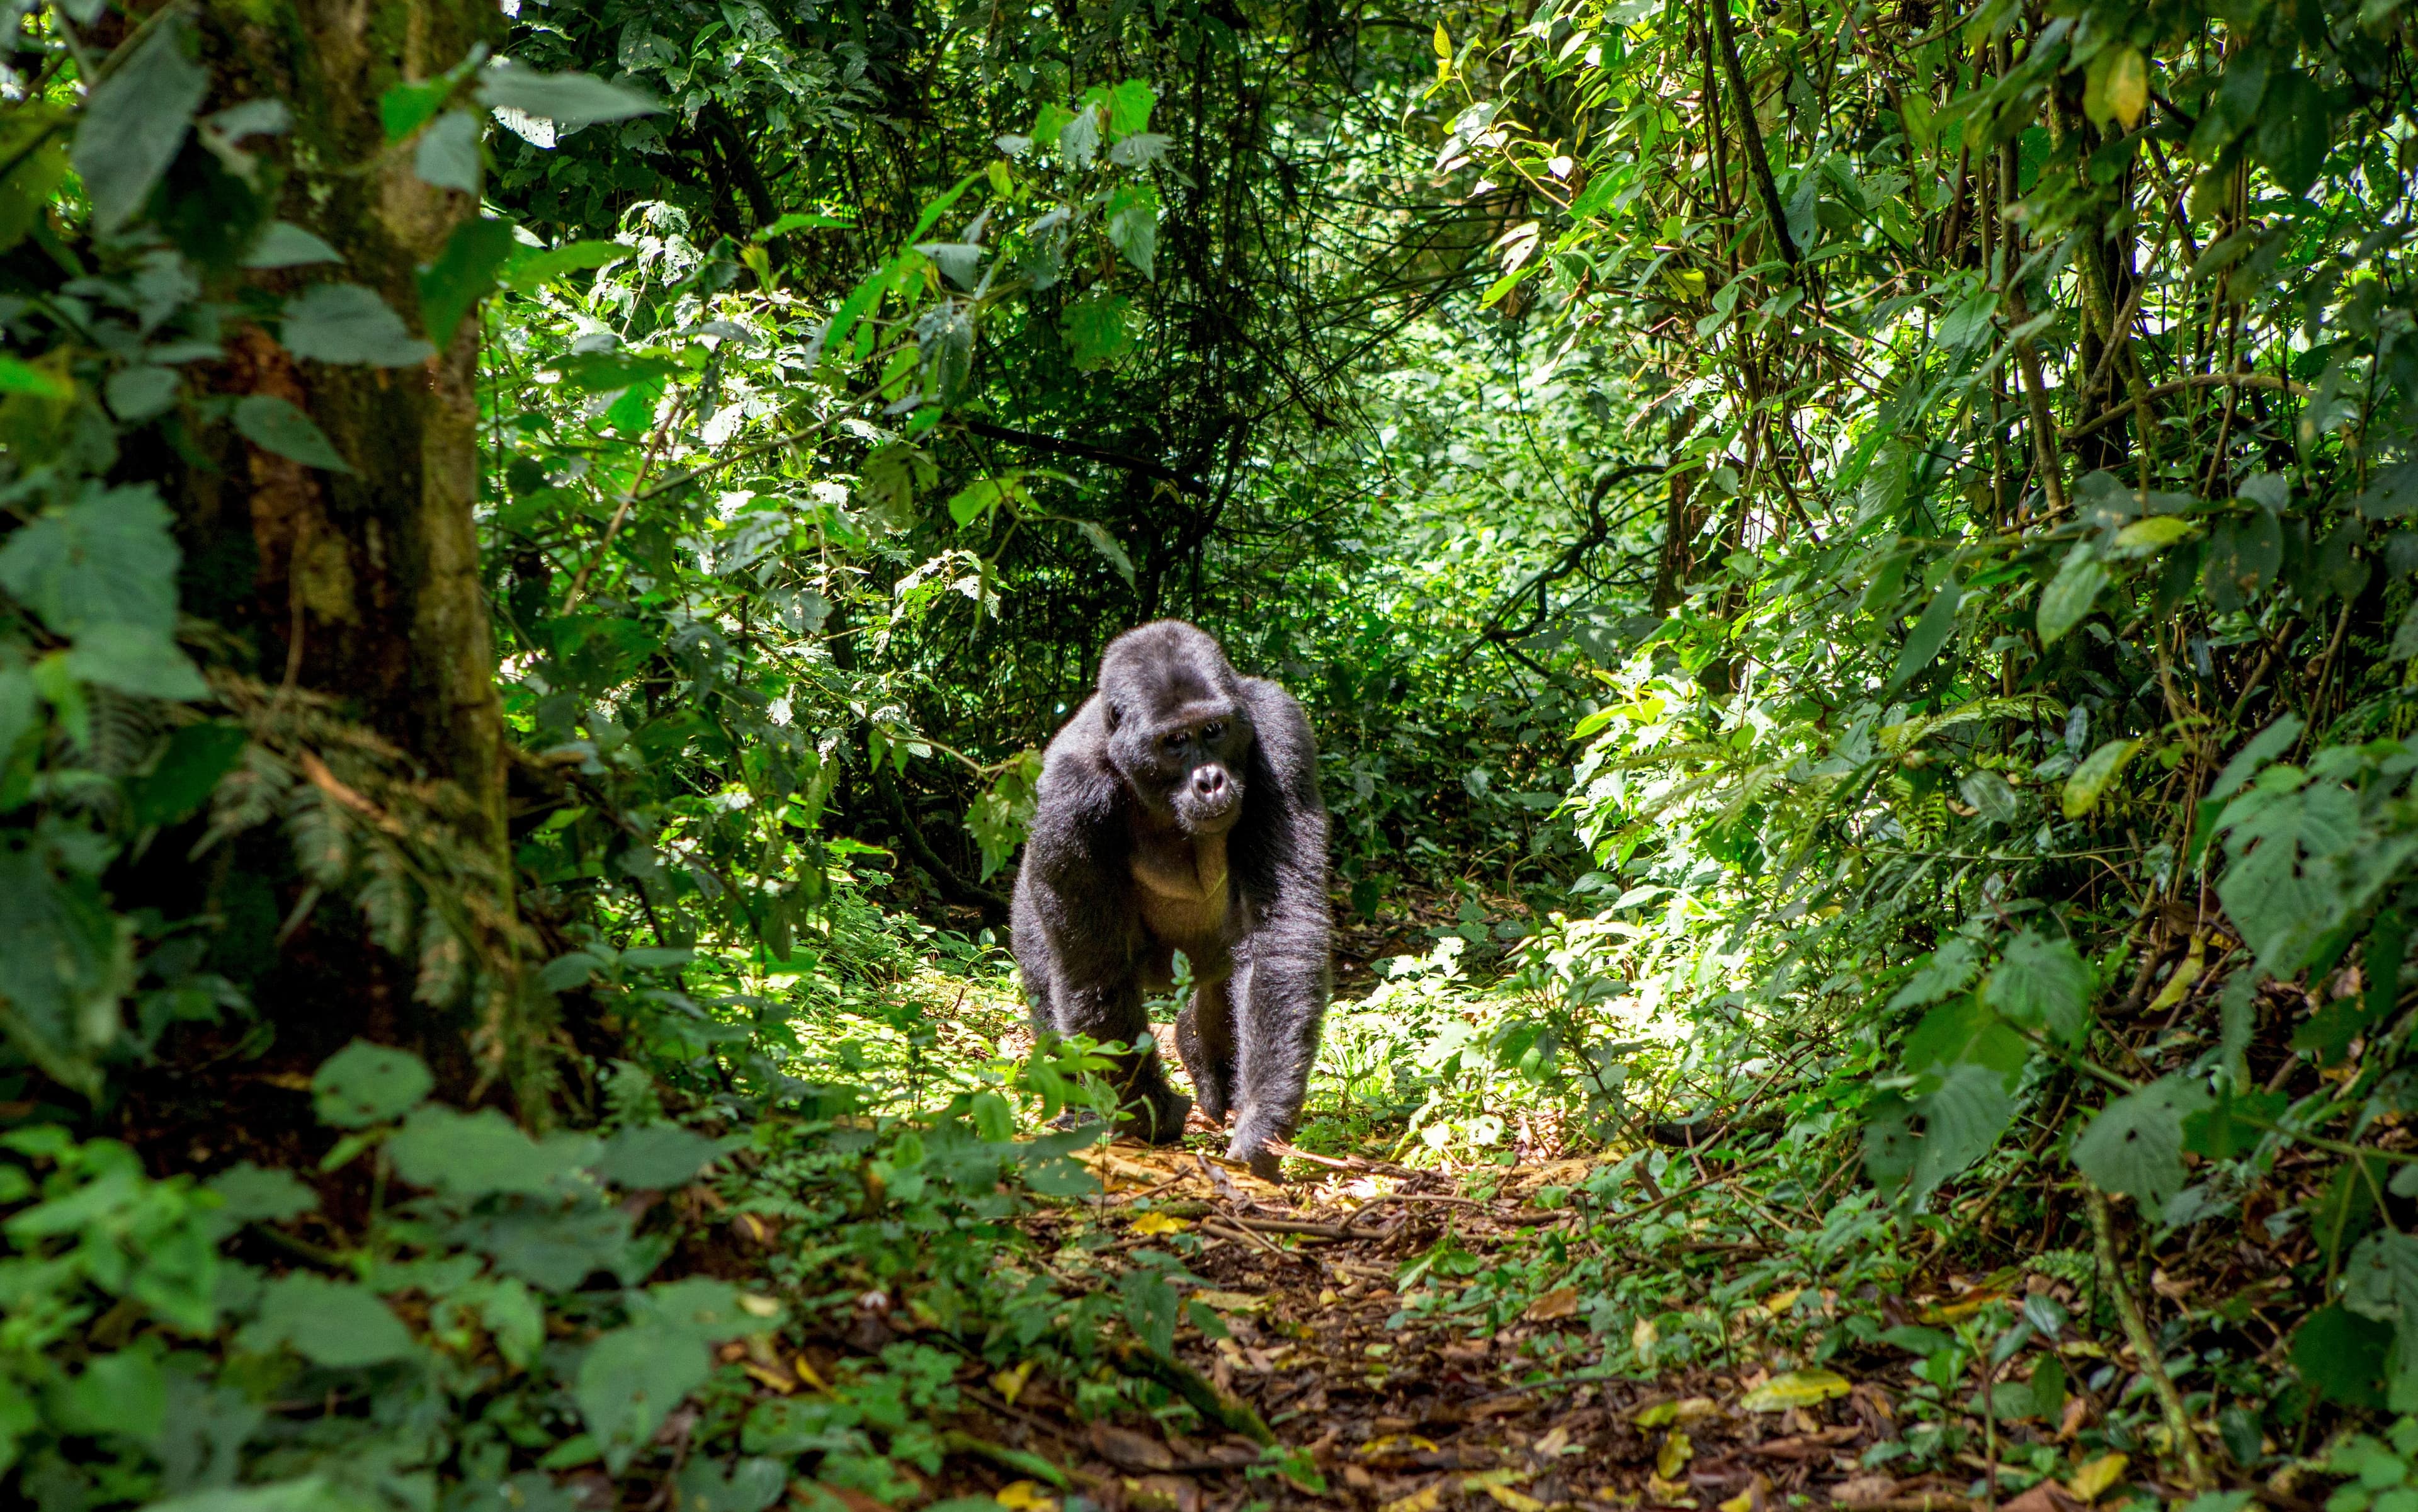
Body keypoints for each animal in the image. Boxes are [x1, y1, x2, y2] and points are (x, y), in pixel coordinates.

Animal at [1011, 620, 1331, 1180]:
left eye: (1214, 731)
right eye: (1175, 742)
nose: (1211, 781)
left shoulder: (1280, 730)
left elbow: (1281, 931)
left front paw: (1262, 1120)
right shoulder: (1068, 795)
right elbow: (1095, 972)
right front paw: (1149, 1115)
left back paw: (1201, 1050)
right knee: (1049, 978)